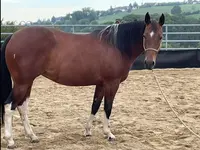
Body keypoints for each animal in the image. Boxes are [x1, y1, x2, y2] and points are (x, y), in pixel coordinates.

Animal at [0, 12, 165, 148]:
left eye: (160, 37)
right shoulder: (112, 83)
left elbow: (95, 105)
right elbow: (108, 107)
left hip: (28, 82)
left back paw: (32, 136)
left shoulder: (101, 84)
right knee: (9, 106)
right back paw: (10, 140)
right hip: (22, 82)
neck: (115, 46)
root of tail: (13, 36)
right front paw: (109, 133)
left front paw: (87, 131)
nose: (149, 63)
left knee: (22, 107)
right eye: (144, 36)